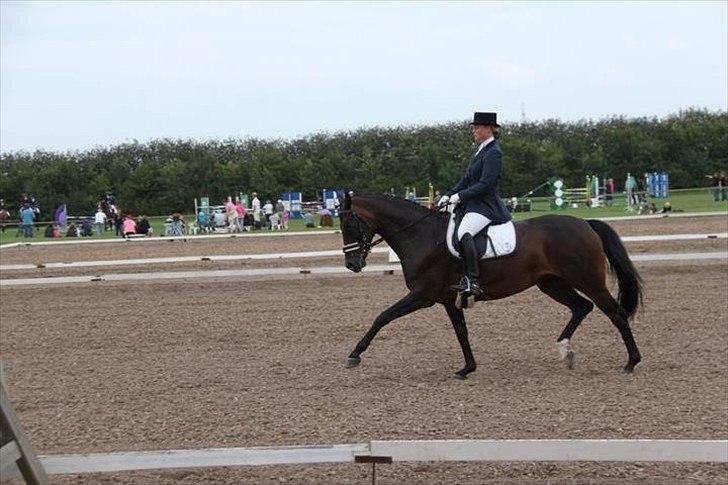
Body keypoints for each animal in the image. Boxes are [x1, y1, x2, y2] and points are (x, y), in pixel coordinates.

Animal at [336, 193, 644, 378]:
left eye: (349, 222)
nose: (352, 264)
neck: (421, 236)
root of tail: (585, 224)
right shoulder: (448, 299)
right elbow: (461, 332)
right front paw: (467, 368)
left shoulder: (422, 295)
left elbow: (382, 316)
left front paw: (354, 355)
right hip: (551, 283)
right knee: (582, 307)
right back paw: (564, 350)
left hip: (587, 280)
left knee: (615, 313)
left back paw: (631, 362)